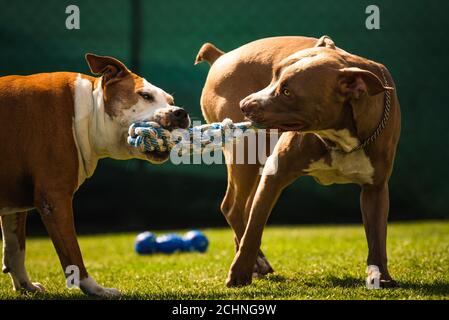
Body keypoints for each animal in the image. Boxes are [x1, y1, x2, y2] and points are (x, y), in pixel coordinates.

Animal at [0, 53, 189, 298]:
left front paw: (26, 286)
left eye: (171, 101)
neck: (86, 112)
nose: (180, 113)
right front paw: (96, 289)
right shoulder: (54, 198)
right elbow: (73, 255)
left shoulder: (16, 203)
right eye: (145, 95)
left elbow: (16, 248)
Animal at [195, 36, 400, 288]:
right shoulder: (275, 173)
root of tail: (221, 56)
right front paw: (239, 274)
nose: (244, 104)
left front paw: (379, 275)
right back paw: (257, 262)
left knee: (245, 208)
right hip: (245, 155)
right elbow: (254, 230)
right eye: (273, 76)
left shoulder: (375, 189)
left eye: (287, 91)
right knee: (233, 208)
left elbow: (377, 236)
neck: (338, 136)